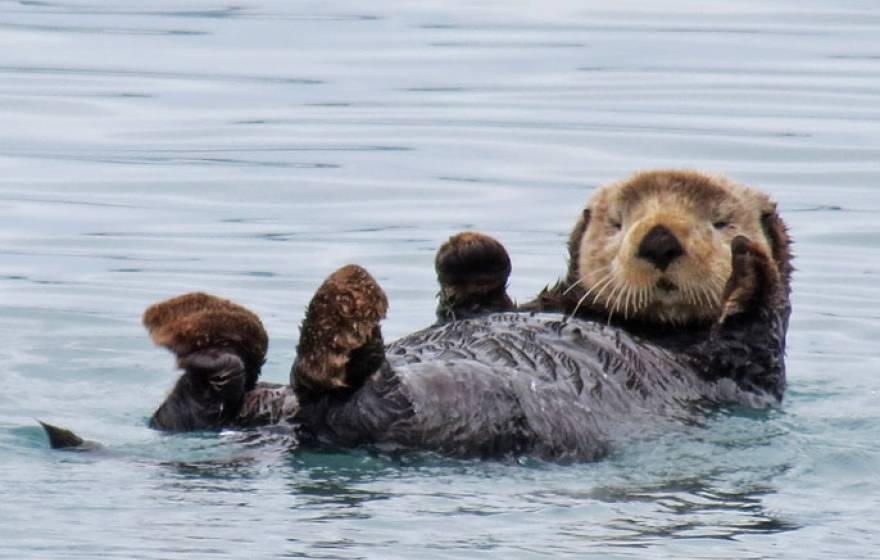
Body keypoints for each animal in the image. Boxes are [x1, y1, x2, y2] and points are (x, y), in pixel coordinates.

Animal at [44, 168, 796, 462]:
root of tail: (285, 434)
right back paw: (208, 332)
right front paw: (471, 248)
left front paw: (748, 268)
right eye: (618, 221)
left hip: (458, 408)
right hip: (261, 403)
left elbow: (753, 323)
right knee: (203, 403)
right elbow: (476, 294)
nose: (659, 239)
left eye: (721, 219)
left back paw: (337, 318)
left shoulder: (743, 367)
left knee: (350, 395)